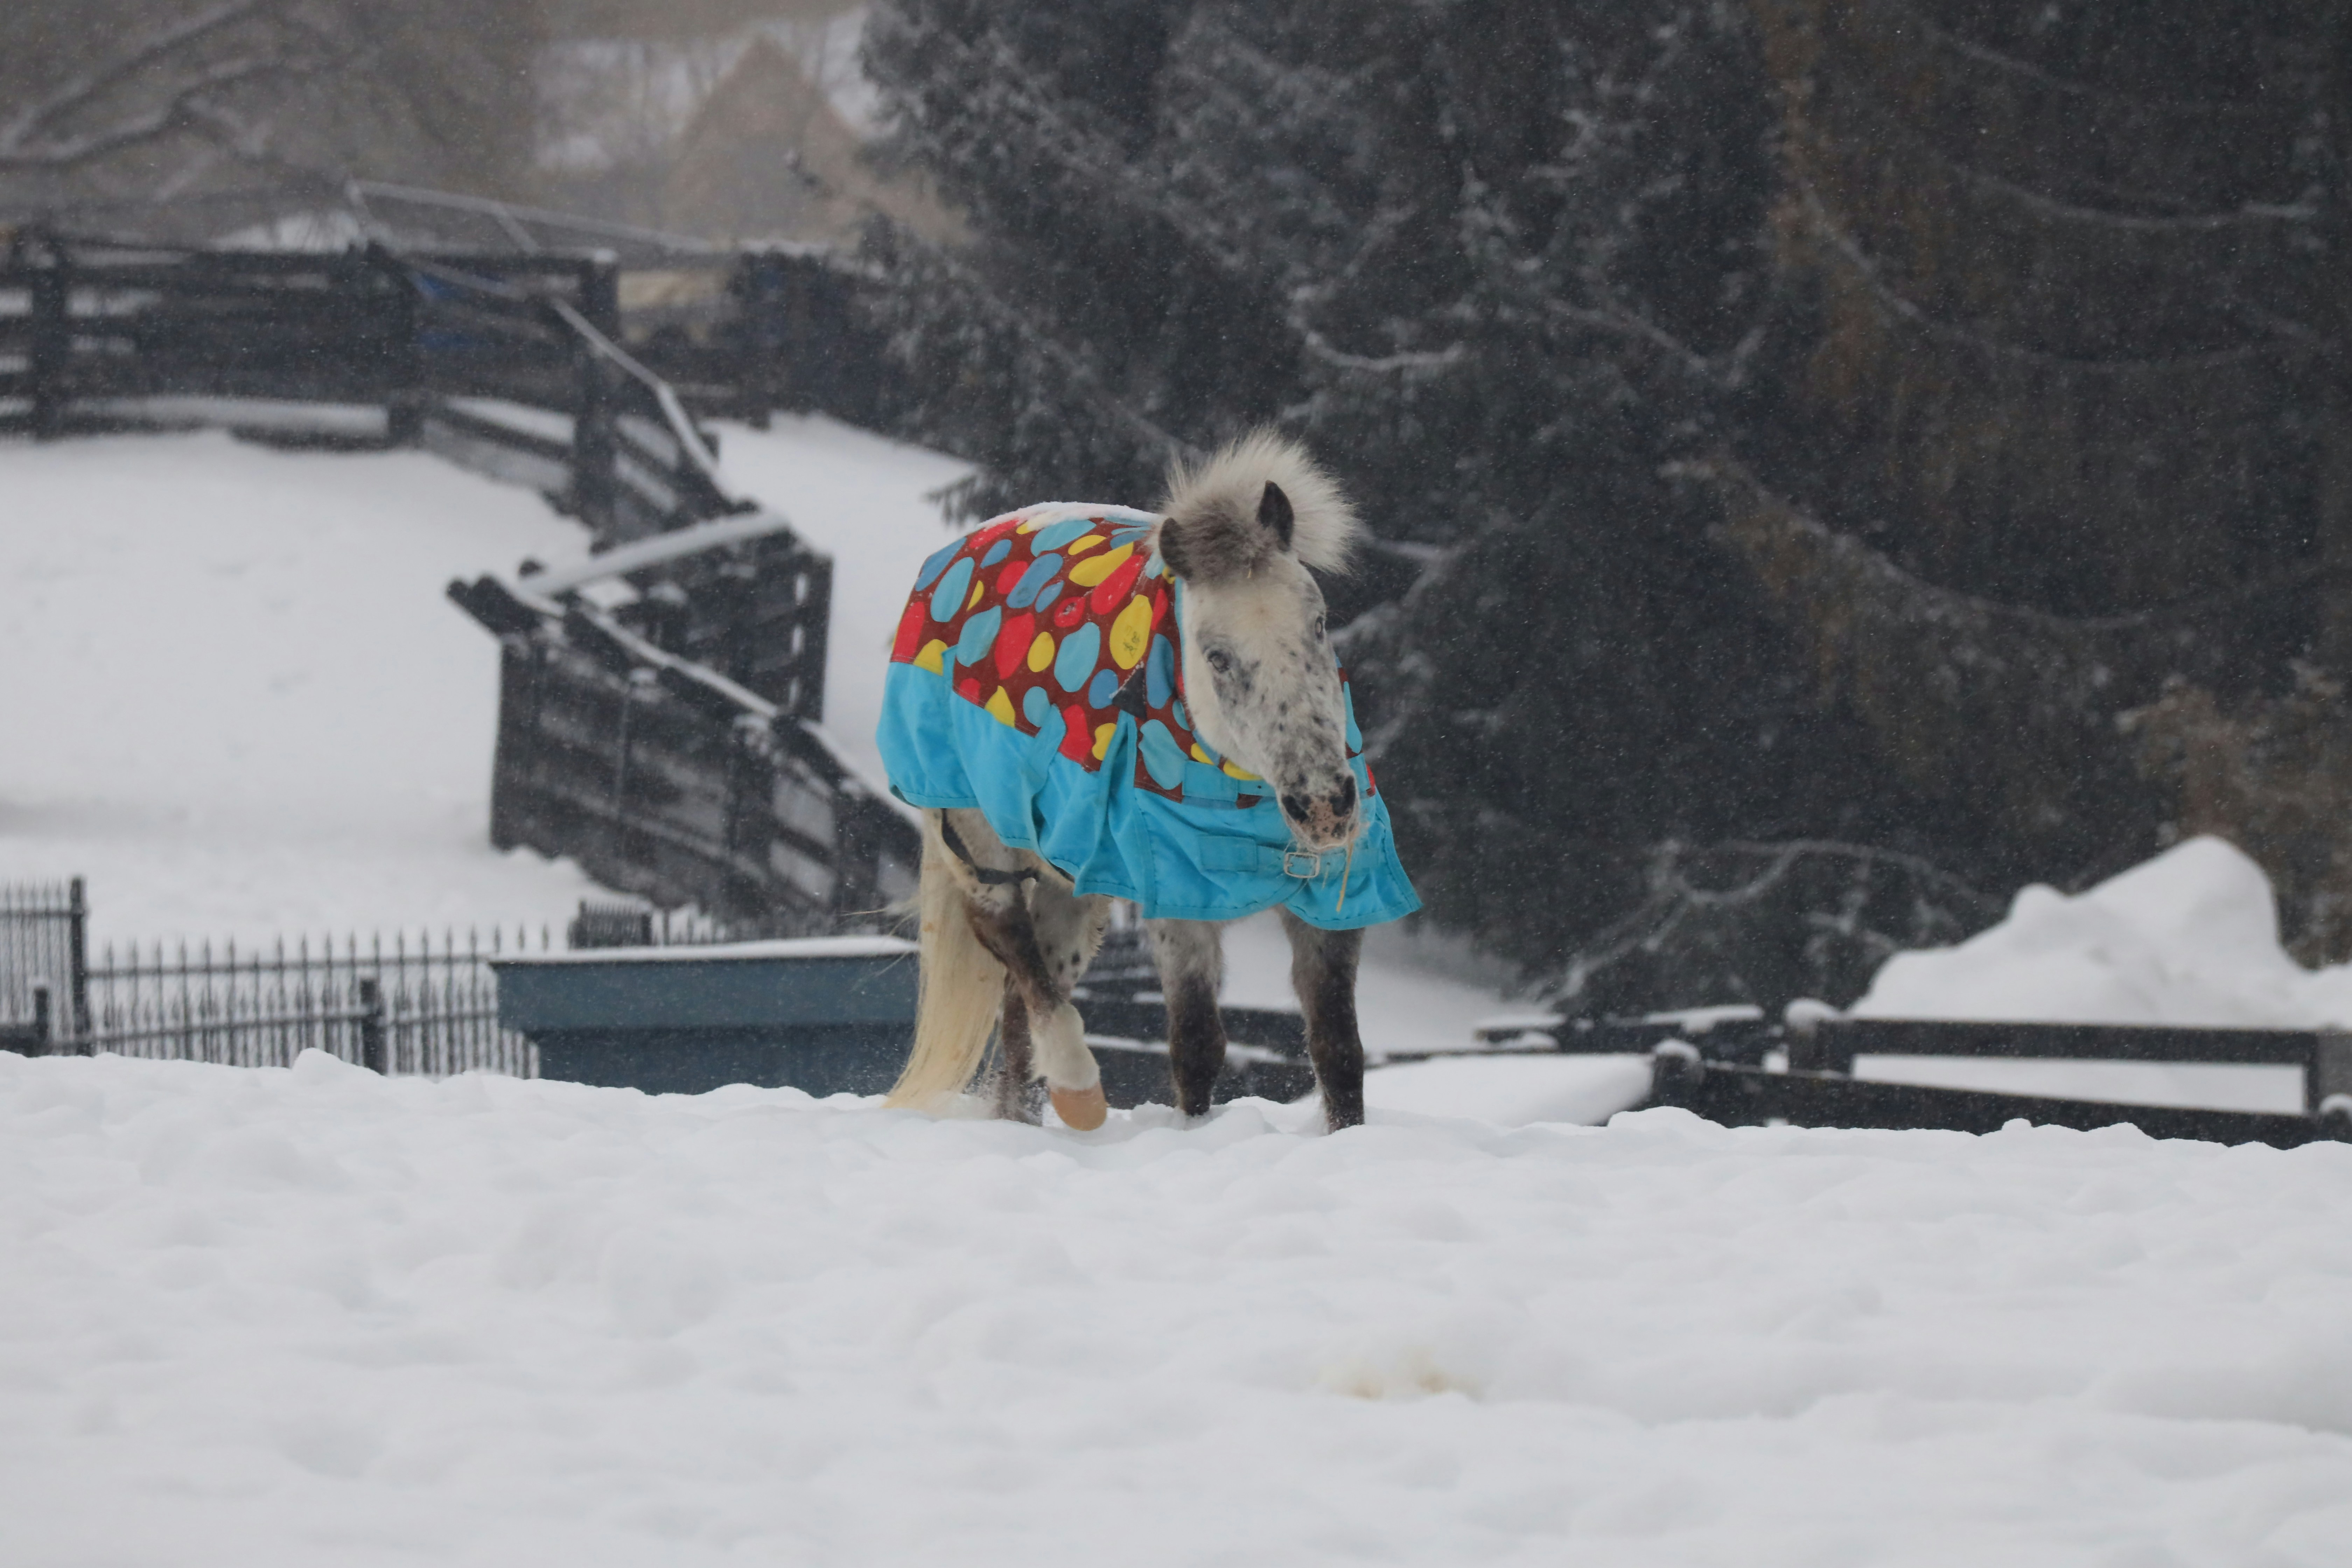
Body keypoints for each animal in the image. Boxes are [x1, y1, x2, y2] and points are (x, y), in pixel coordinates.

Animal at [872, 432, 1420, 1132]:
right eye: (1217, 657)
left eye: (1319, 624)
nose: (1324, 806)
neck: (1245, 791)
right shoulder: (1180, 904)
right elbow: (1197, 1043)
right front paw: (1194, 1132)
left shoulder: (1331, 898)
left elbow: (1339, 1048)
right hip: (977, 839)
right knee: (1016, 953)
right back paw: (1078, 1091)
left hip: (1072, 884)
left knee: (1024, 1005)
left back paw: (1022, 1121)